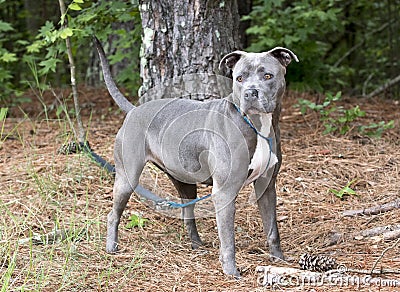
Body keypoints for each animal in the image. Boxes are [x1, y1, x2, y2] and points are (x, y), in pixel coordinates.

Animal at [94, 37, 296, 278]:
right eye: (239, 78)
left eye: (268, 76)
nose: (250, 93)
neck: (256, 125)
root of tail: (134, 110)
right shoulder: (224, 192)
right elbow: (228, 238)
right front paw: (231, 271)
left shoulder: (267, 186)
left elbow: (272, 228)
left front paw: (279, 260)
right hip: (127, 178)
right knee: (113, 213)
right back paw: (111, 248)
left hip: (184, 181)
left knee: (187, 213)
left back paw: (196, 244)